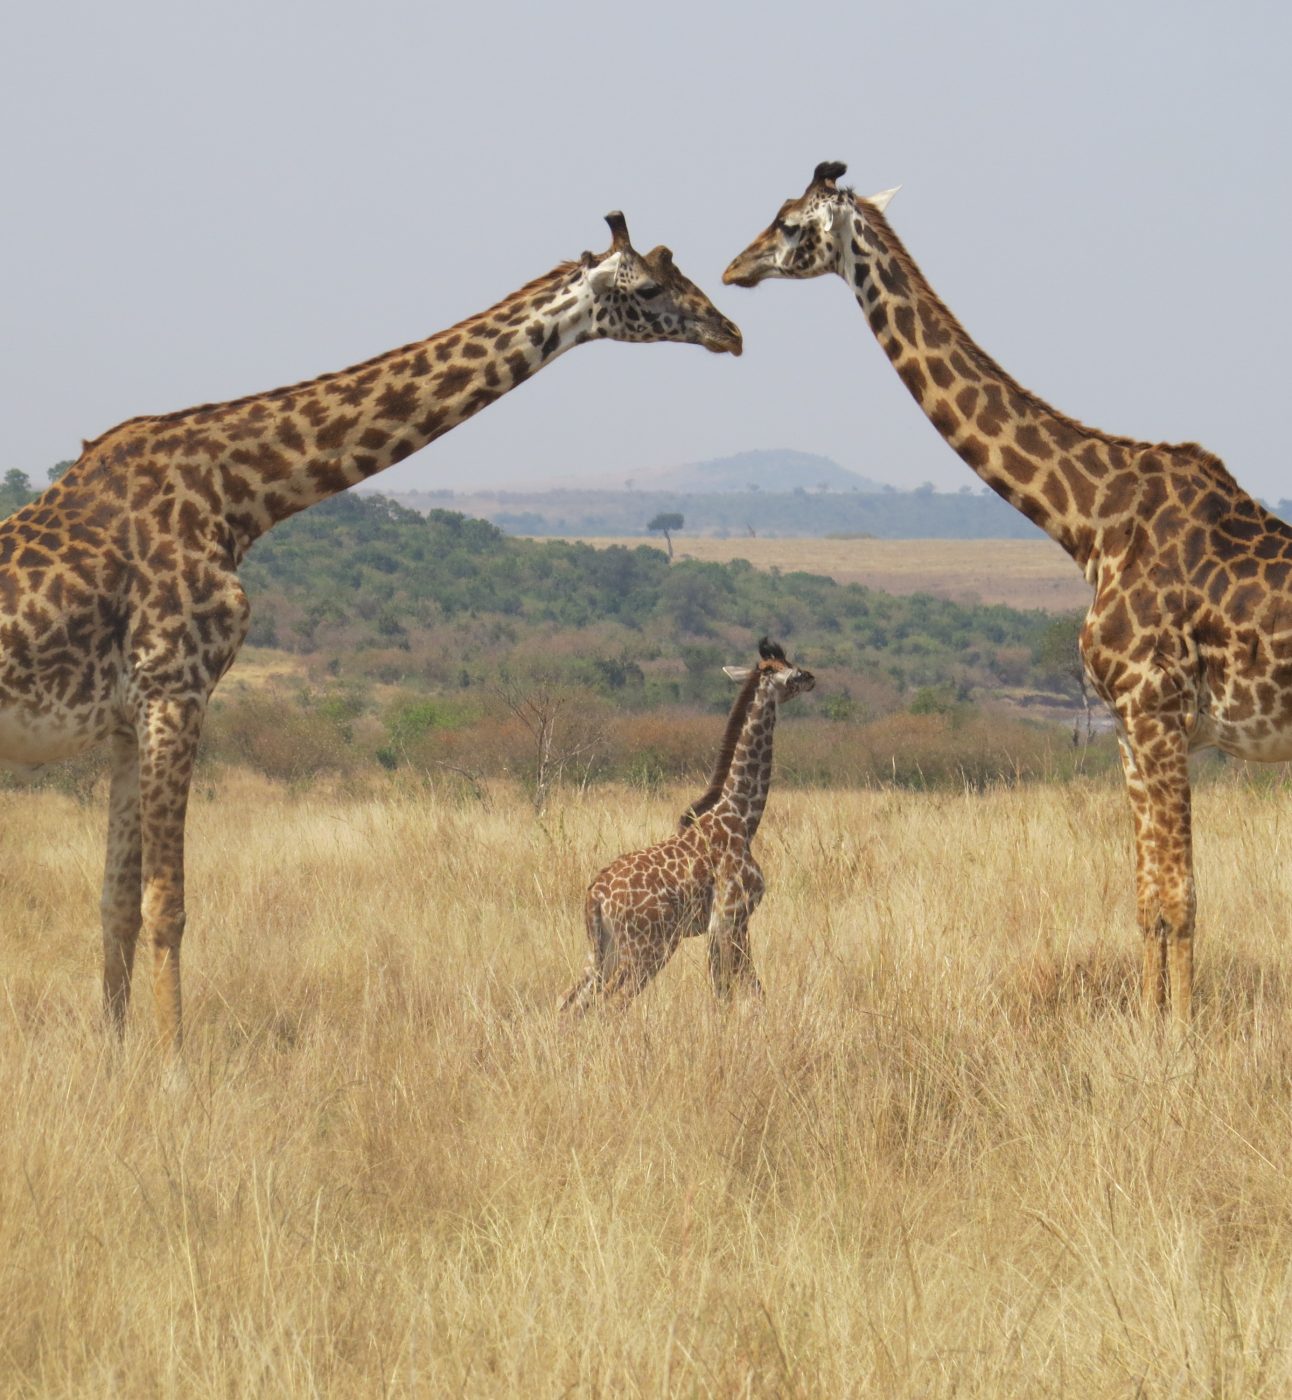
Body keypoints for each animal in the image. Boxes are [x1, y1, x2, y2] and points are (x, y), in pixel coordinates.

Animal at [5, 212, 744, 1052]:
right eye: (649, 288)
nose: (729, 331)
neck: (240, 494)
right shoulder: (175, 689)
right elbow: (168, 907)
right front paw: (174, 1067)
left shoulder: (130, 720)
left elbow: (115, 906)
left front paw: (115, 1058)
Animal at [559, 641, 811, 1013]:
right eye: (791, 671)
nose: (811, 677)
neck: (742, 817)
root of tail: (595, 895)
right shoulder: (733, 917)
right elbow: (749, 988)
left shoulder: (719, 926)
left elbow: (723, 990)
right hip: (648, 947)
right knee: (611, 1003)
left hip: (602, 951)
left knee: (570, 1001)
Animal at [727, 161, 1292, 1030]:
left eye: (789, 224)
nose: (733, 268)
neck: (1091, 520)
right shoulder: (1130, 730)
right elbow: (1148, 900)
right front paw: (1152, 1028)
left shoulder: (1159, 714)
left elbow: (1182, 898)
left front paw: (1181, 1038)